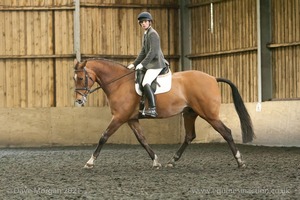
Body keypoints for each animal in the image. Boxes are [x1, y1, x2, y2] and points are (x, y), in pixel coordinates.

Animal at [72, 58, 253, 169]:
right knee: (189, 136)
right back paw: (172, 161)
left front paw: (90, 162)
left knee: (226, 132)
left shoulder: (119, 118)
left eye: (80, 78)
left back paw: (240, 161)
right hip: (190, 113)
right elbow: (142, 140)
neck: (120, 83)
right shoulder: (131, 120)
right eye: (74, 79)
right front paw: (156, 161)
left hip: (209, 114)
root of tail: (213, 78)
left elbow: (104, 136)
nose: (79, 101)